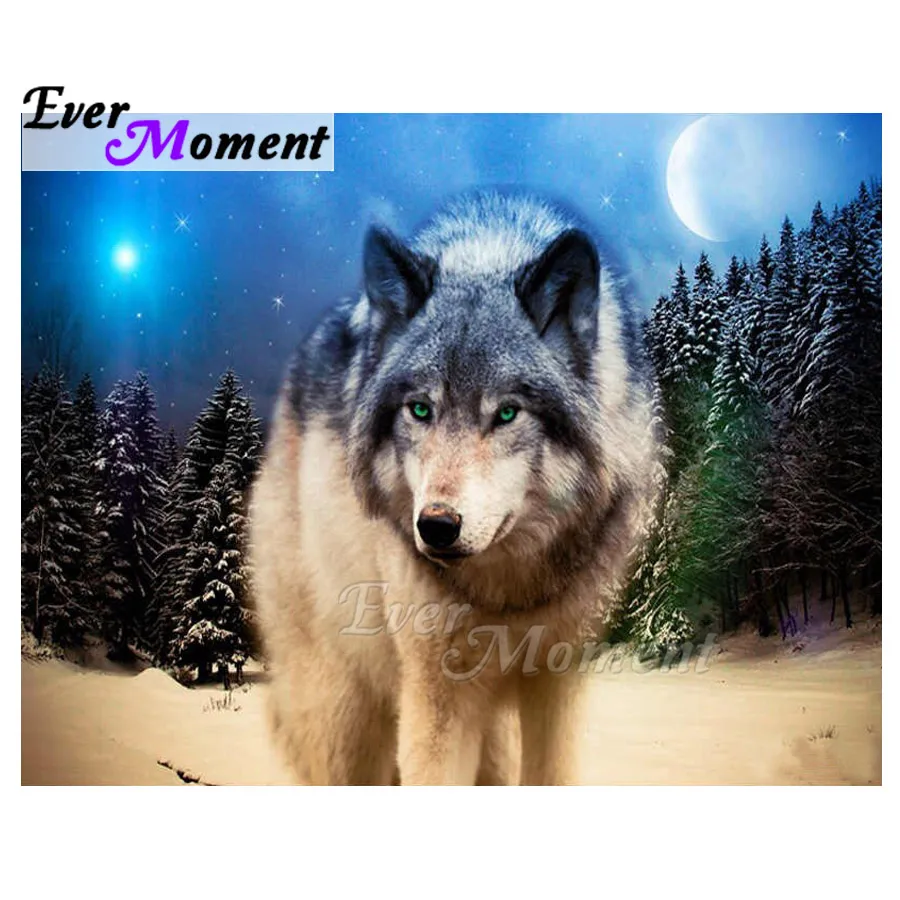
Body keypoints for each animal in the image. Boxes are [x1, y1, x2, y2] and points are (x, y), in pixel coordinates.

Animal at [249, 192, 659, 785]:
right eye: (421, 409)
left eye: (507, 413)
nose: (437, 526)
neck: (509, 594)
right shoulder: (437, 693)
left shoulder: (559, 683)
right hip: (344, 711)